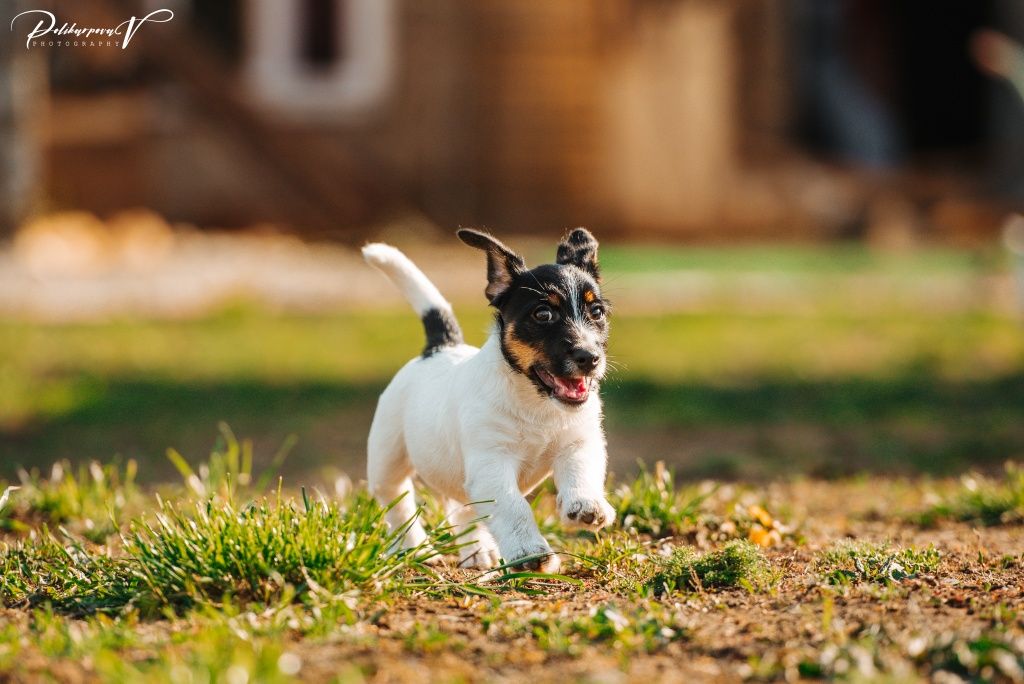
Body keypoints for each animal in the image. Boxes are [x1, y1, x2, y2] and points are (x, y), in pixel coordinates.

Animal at [364, 228, 610, 573]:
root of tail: (441, 347)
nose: (589, 358)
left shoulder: (579, 443)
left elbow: (582, 472)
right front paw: (529, 552)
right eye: (543, 314)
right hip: (388, 457)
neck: (536, 403)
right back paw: (412, 546)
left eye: (597, 312)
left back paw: (477, 551)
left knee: (463, 508)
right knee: (396, 500)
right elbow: (513, 507)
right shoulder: (491, 465)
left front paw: (586, 504)